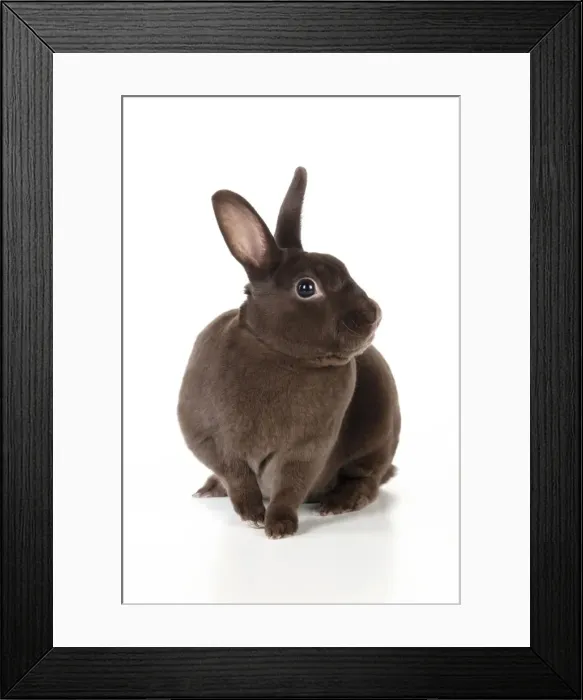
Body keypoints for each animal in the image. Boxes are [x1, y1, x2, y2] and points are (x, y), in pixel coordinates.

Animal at [177, 167, 401, 539]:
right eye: (306, 287)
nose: (374, 314)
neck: (279, 354)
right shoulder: (210, 439)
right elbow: (237, 476)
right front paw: (253, 514)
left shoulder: (307, 448)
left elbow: (290, 484)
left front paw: (279, 526)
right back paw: (210, 488)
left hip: (379, 437)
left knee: (367, 480)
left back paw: (339, 503)